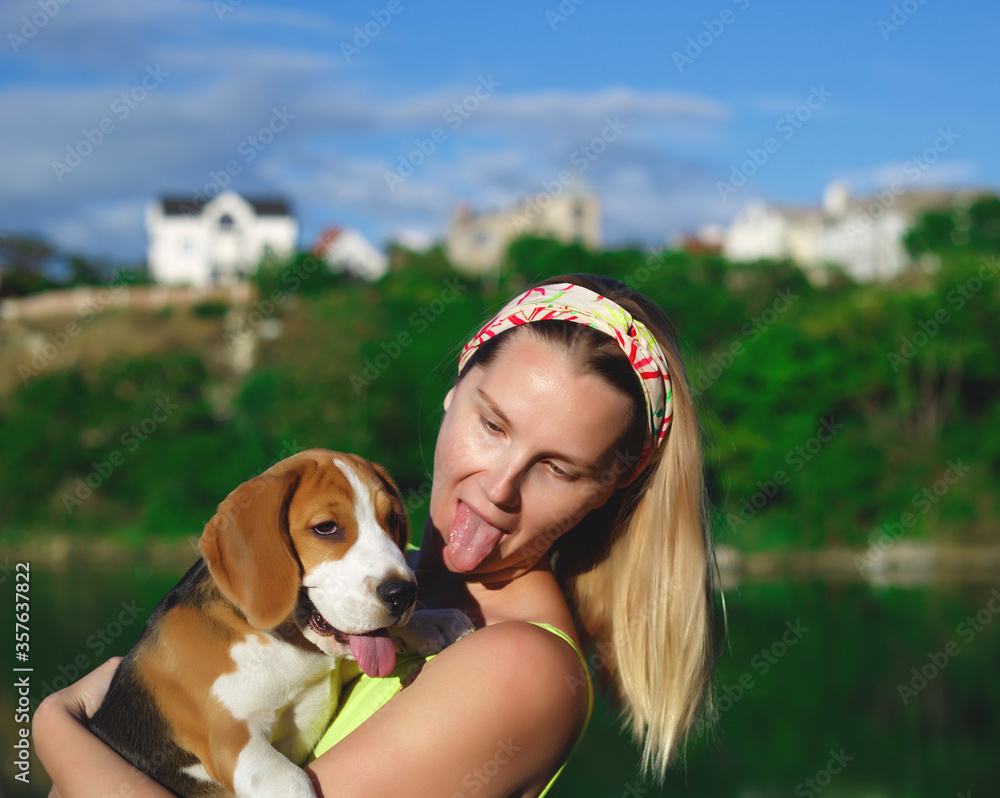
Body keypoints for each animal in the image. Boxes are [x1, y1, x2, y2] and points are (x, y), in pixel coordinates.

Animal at [90, 450, 472, 798]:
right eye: (326, 528)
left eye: (393, 519)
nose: (404, 593)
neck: (285, 643)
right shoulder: (236, 743)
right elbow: (291, 779)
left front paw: (431, 623)